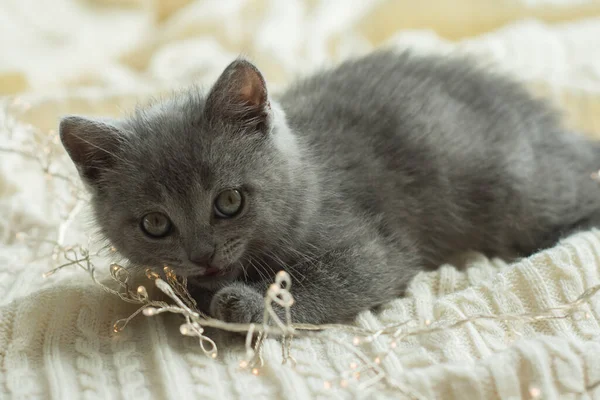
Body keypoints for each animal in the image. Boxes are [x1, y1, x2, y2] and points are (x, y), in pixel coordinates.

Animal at [58, 50, 600, 324]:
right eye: (155, 223)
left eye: (229, 201)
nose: (203, 255)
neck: (306, 180)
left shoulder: (370, 249)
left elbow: (334, 281)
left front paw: (244, 302)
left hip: (518, 191)